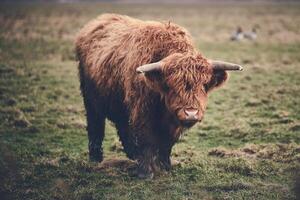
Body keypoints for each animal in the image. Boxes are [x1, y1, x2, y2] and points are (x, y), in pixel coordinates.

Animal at [76, 14, 243, 180]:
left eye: (204, 85)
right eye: (172, 86)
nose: (191, 113)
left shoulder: (171, 123)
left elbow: (166, 144)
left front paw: (165, 166)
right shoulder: (142, 113)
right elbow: (146, 141)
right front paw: (145, 172)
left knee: (122, 126)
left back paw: (132, 155)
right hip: (91, 100)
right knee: (96, 127)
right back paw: (95, 159)